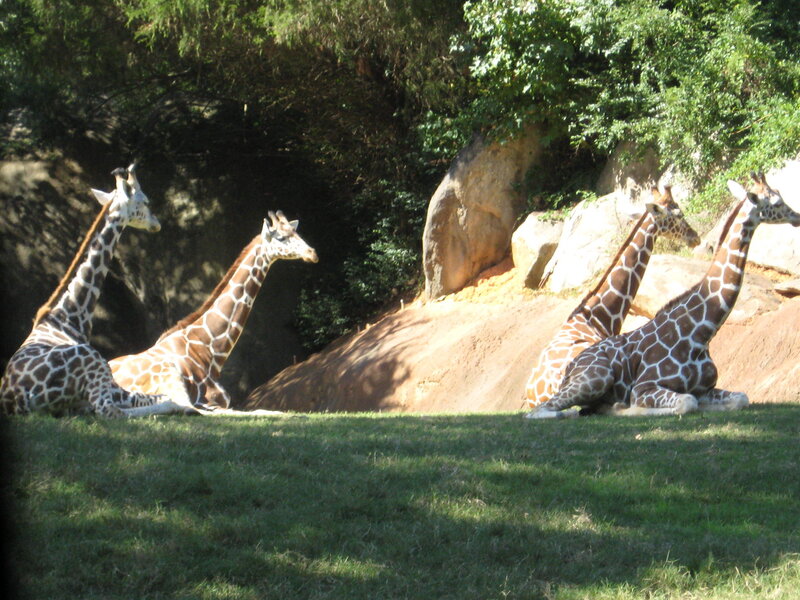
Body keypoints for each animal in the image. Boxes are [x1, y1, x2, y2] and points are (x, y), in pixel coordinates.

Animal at [0, 165, 181, 417]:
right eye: (145, 201)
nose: (156, 223)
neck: (69, 317)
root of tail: (18, 397)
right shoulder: (112, 385)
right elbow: (166, 397)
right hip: (96, 364)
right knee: (111, 411)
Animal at [108, 210, 318, 413]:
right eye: (281, 238)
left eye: (296, 233)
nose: (312, 253)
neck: (210, 350)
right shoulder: (209, 398)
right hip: (168, 377)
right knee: (185, 407)